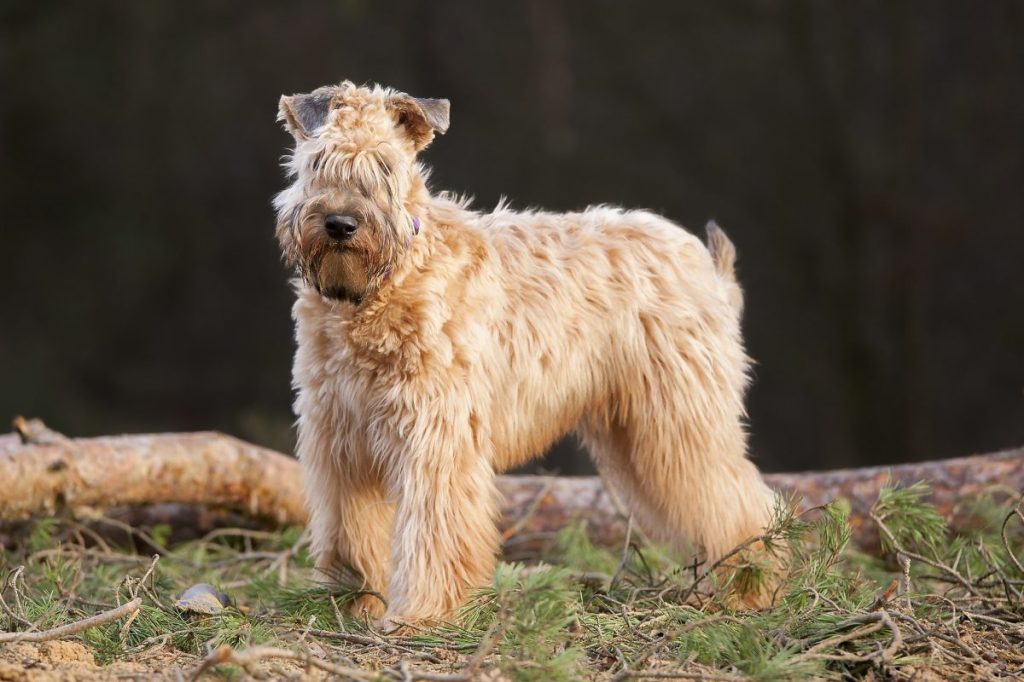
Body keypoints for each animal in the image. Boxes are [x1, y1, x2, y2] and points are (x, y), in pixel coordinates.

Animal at [272, 80, 774, 626]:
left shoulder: (434, 436)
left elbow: (433, 530)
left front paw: (423, 614)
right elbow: (350, 532)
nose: (341, 224)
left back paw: (753, 587)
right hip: (639, 434)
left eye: (384, 166)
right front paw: (353, 601)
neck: (381, 290)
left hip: (680, 420)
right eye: (318, 162)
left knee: (743, 501)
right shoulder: (340, 438)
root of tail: (703, 262)